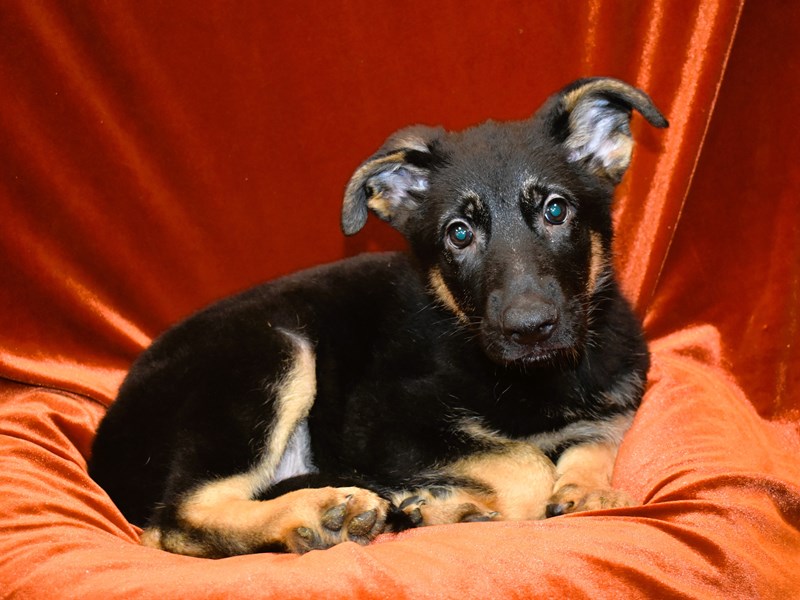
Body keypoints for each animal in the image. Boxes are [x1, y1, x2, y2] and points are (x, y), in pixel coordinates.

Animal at [90, 77, 668, 556]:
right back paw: (324, 513)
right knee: (172, 522)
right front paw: (447, 504)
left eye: (556, 210)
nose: (529, 329)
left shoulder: (616, 399)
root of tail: (106, 441)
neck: (538, 379)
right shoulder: (383, 421)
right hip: (272, 349)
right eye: (459, 233)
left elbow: (597, 439)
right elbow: (526, 465)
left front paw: (588, 489)